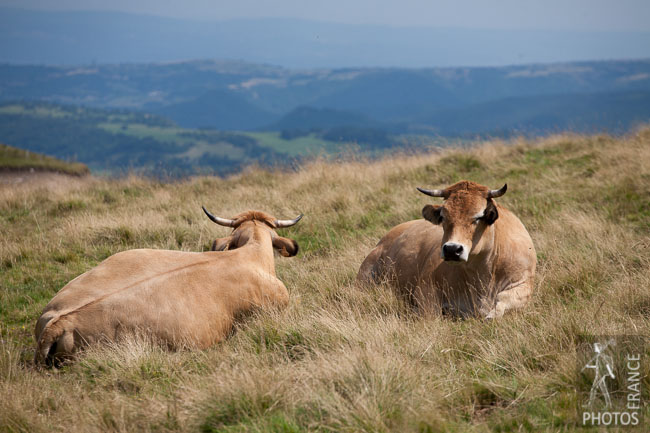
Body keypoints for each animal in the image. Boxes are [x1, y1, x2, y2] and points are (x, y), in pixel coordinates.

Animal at [356, 179, 536, 318]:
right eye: (443, 216)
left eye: (478, 217)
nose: (452, 249)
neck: (483, 274)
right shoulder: (425, 288)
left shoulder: (524, 284)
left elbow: (503, 300)